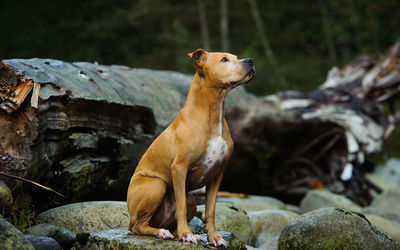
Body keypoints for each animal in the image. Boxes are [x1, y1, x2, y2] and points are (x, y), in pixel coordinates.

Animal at [126, 48, 255, 246]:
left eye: (235, 57)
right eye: (224, 59)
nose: (250, 61)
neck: (212, 113)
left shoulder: (217, 174)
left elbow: (210, 210)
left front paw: (214, 237)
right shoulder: (179, 168)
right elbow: (180, 208)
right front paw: (187, 234)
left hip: (191, 200)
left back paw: (180, 233)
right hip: (156, 185)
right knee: (138, 226)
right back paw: (163, 232)